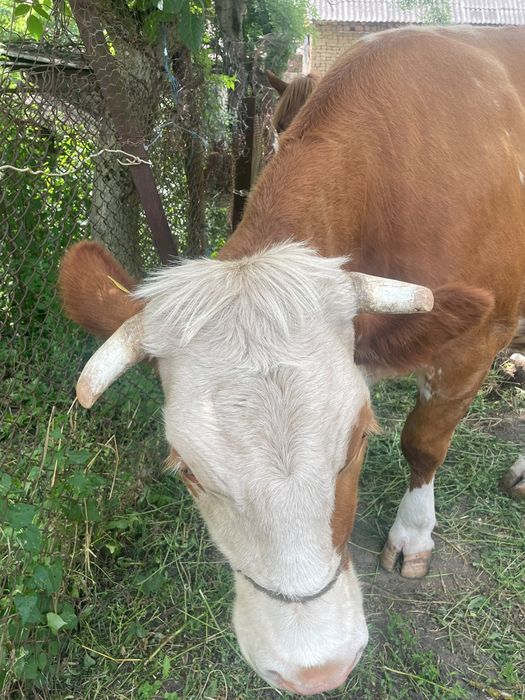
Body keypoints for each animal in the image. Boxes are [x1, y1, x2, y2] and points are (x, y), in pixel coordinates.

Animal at [59, 26, 525, 696]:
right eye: (187, 470)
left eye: (360, 440)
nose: (316, 669)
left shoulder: (477, 340)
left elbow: (423, 443)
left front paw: (412, 534)